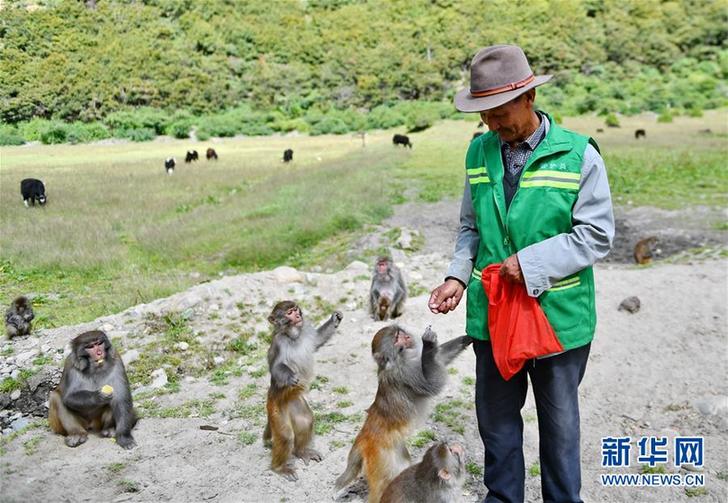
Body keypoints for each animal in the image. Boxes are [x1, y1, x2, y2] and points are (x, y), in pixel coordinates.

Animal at [262, 302, 344, 482]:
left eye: (295, 309)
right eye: (289, 313)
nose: (298, 316)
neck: (294, 336)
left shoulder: (306, 332)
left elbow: (318, 340)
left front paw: (335, 319)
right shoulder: (278, 343)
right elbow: (276, 367)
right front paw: (290, 377)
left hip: (296, 402)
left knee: (305, 421)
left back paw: (301, 451)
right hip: (275, 409)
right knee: (285, 436)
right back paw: (279, 467)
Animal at [336, 324, 472, 502]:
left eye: (399, 333)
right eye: (396, 339)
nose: (406, 337)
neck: (400, 358)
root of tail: (363, 438)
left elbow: (441, 357)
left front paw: (466, 338)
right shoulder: (405, 373)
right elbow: (433, 383)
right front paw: (428, 344)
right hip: (382, 460)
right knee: (383, 484)